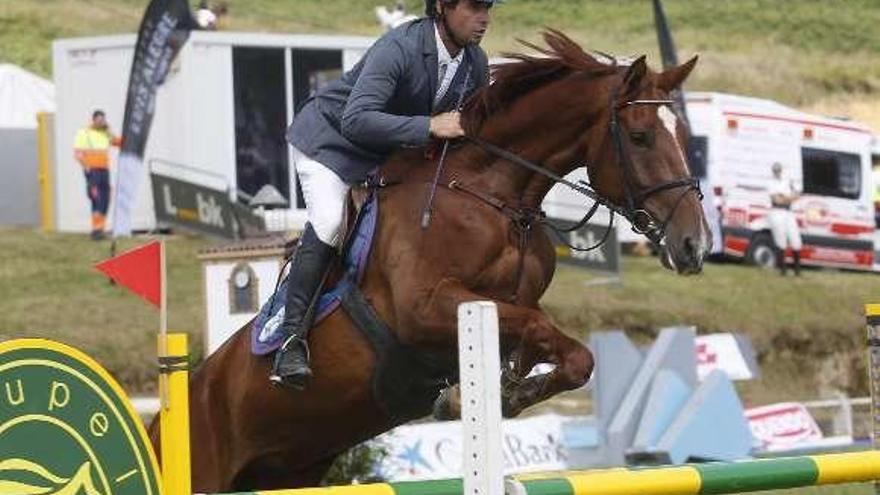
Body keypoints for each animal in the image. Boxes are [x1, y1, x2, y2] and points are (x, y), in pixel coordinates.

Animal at [150, 31, 708, 492]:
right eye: (640, 137)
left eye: (685, 137)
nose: (695, 245)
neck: (492, 194)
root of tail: (174, 405)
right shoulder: (425, 311)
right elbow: (537, 328)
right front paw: (480, 395)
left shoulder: (510, 304)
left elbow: (571, 354)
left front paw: (508, 389)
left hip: (290, 469)